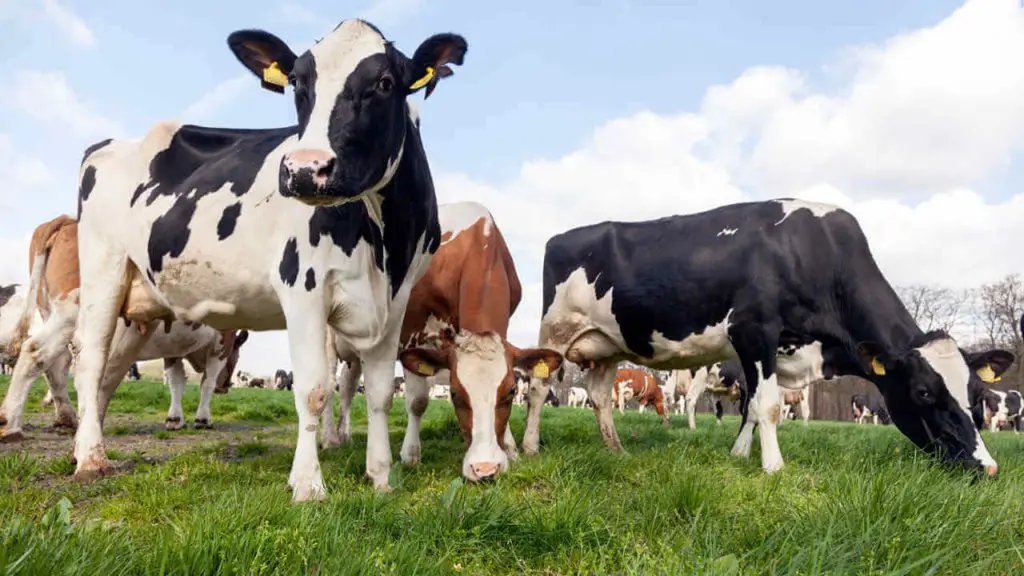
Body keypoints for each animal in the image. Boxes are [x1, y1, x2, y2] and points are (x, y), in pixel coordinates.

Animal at [0, 216, 249, 440]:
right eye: (236, 354)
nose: (226, 387)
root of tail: (65, 220)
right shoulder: (221, 344)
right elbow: (206, 382)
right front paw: (203, 419)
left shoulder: (174, 349)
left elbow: (176, 382)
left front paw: (174, 419)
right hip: (72, 311)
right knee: (35, 352)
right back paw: (10, 424)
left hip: (51, 314)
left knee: (55, 367)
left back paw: (66, 419)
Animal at [68, 18, 469, 500]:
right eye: (297, 82)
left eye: (385, 83)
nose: (304, 169)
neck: (386, 243)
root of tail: (107, 145)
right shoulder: (304, 288)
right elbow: (313, 389)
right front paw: (308, 486)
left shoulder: (395, 301)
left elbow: (378, 394)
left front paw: (380, 478)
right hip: (103, 271)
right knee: (90, 362)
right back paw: (91, 458)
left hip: (137, 302)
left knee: (109, 370)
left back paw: (82, 445)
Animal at [320, 202, 560, 481]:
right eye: (454, 394)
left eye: (511, 391)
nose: (485, 468)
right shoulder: (410, 333)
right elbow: (418, 401)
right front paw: (410, 454)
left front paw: (510, 448)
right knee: (328, 386)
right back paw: (329, 439)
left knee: (347, 387)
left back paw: (344, 434)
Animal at [524, 199, 1001, 477]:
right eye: (923, 392)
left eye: (976, 395)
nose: (988, 467)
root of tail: (562, 236)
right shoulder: (753, 331)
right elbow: (768, 407)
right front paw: (773, 467)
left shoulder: (762, 348)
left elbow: (753, 407)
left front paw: (739, 455)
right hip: (556, 330)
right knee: (540, 388)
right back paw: (529, 448)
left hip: (607, 346)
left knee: (599, 396)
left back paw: (616, 450)